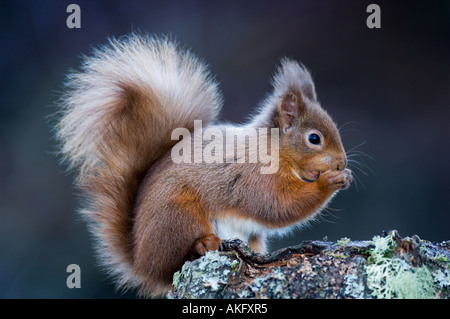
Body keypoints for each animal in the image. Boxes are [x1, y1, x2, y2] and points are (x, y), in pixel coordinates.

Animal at [55, 33, 352, 298]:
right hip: (179, 215)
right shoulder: (254, 175)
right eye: (314, 138)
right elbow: (278, 205)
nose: (342, 162)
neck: (273, 149)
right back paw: (203, 243)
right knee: (174, 262)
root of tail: (141, 261)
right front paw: (330, 180)